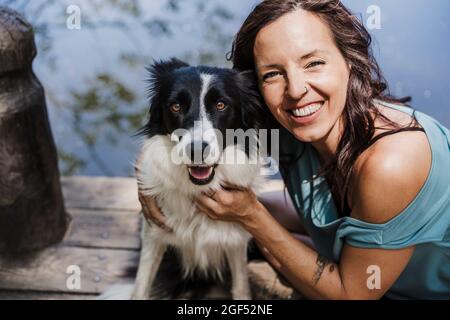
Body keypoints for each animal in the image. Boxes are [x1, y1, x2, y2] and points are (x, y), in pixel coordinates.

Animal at [132, 58, 268, 300]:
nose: (196, 151)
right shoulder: (153, 235)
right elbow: (140, 287)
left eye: (221, 105)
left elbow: (241, 286)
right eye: (175, 106)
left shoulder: (236, 239)